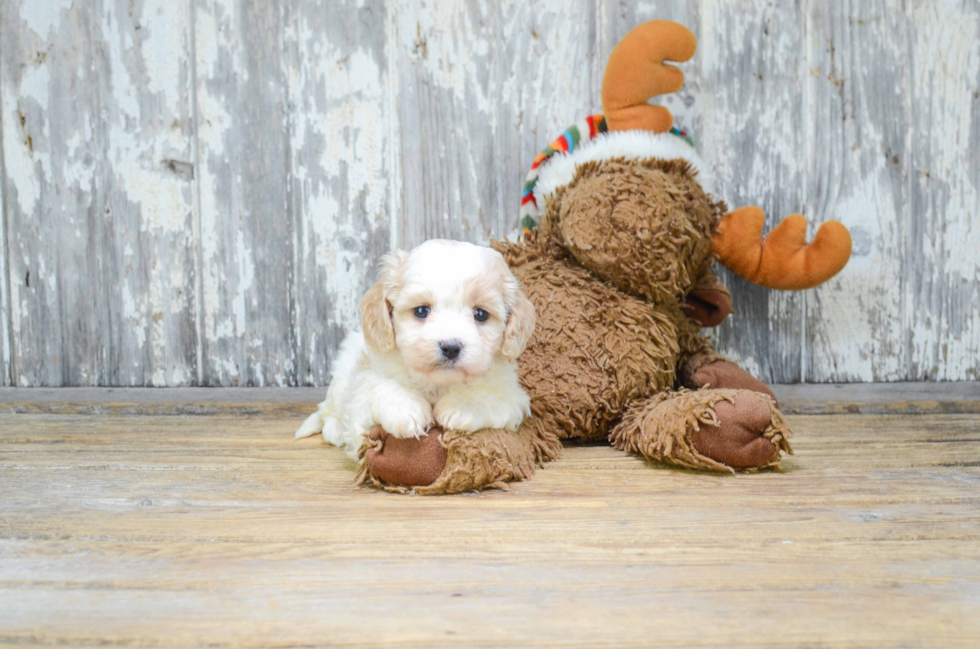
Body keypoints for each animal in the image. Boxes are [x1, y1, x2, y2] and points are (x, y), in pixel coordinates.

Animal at [294, 239, 536, 460]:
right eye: (421, 311)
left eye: (481, 314)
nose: (450, 347)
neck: (437, 383)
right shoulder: (362, 395)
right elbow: (377, 390)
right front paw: (406, 409)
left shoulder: (513, 397)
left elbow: (489, 397)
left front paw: (461, 406)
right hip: (343, 373)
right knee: (328, 409)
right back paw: (334, 429)